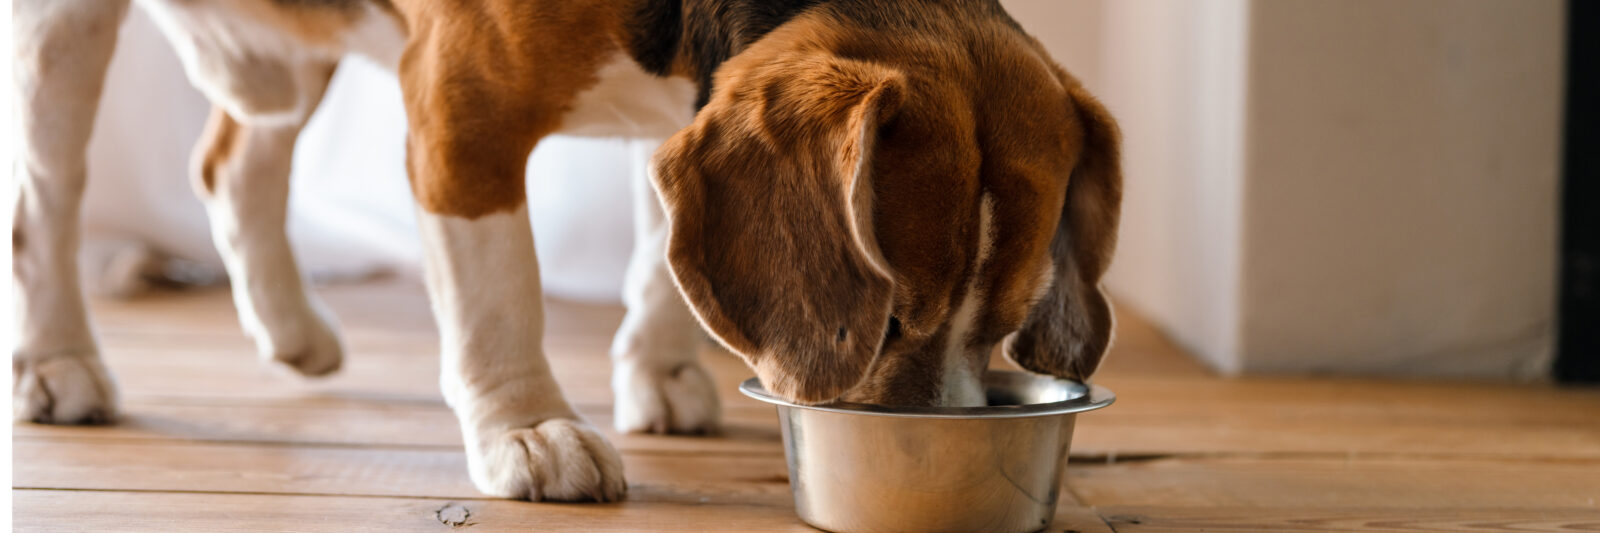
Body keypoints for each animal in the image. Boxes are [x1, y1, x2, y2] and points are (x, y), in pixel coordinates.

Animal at [12, 0, 1120, 502]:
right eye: (890, 320)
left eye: (1006, 326)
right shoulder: (459, 111)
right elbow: (502, 291)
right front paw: (529, 427)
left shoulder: (685, 126)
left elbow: (665, 268)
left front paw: (658, 371)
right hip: (55, 41)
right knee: (43, 200)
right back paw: (54, 362)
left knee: (234, 158)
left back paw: (290, 327)